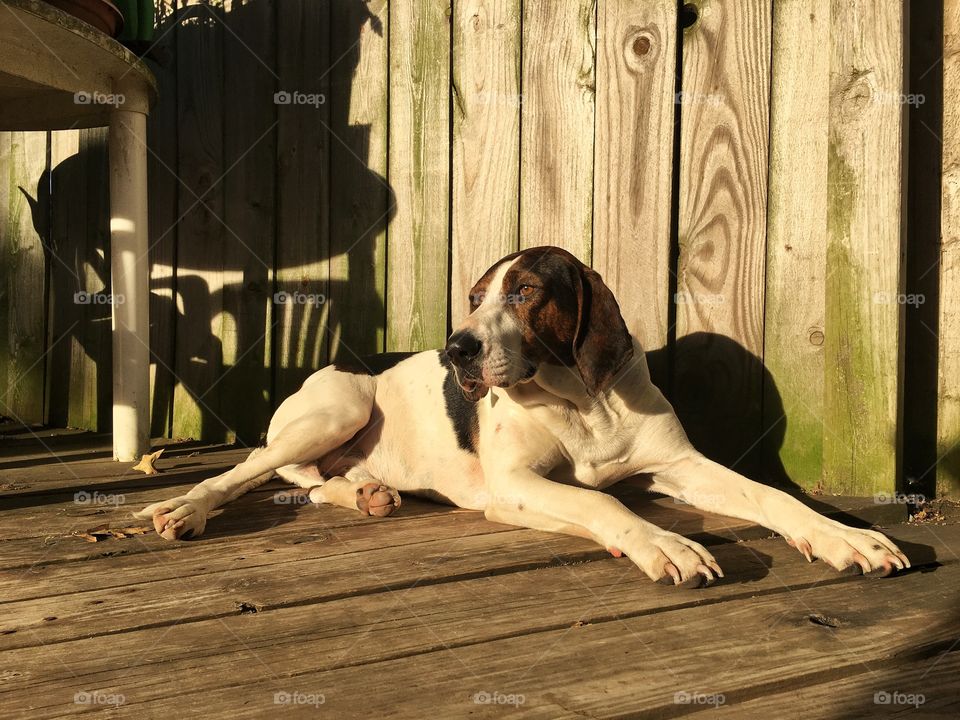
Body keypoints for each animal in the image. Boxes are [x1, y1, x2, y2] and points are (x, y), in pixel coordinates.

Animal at [133, 248, 908, 584]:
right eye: (476, 297)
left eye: (527, 291)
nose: (457, 349)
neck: (582, 401)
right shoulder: (515, 486)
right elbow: (606, 507)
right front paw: (666, 544)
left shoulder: (681, 465)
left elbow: (773, 496)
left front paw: (845, 537)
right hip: (339, 406)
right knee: (244, 471)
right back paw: (183, 509)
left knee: (320, 480)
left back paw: (367, 494)